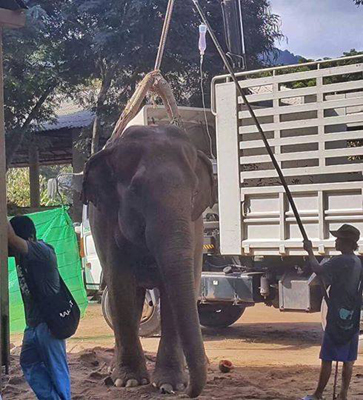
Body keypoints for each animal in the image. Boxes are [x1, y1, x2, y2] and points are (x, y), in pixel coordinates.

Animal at [82, 124, 216, 396]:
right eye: (136, 191)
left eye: (194, 193)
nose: (188, 392)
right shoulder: (106, 224)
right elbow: (120, 283)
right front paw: (129, 381)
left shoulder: (195, 227)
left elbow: (177, 286)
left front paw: (170, 384)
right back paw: (116, 373)